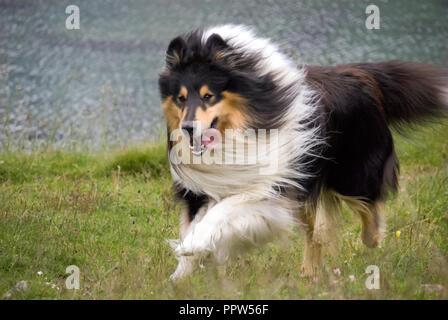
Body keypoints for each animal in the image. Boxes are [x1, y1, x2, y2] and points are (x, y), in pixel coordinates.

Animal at [158, 25, 448, 280]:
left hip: (351, 174)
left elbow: (225, 209)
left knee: (368, 207)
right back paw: (309, 274)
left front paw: (192, 246)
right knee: (315, 234)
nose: (187, 129)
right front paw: (180, 276)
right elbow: (195, 222)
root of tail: (362, 74)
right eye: (181, 98)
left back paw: (372, 239)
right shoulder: (199, 191)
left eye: (208, 96)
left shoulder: (273, 184)